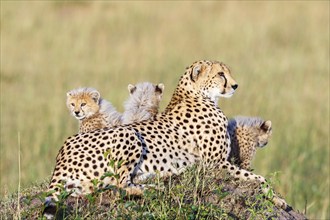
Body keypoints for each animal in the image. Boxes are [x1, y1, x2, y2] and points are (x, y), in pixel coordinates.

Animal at [45, 59, 288, 218]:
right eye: (221, 74)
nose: (235, 85)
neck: (197, 95)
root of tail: (61, 154)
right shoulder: (214, 164)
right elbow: (259, 178)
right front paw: (279, 200)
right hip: (130, 134)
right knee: (118, 185)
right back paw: (153, 188)